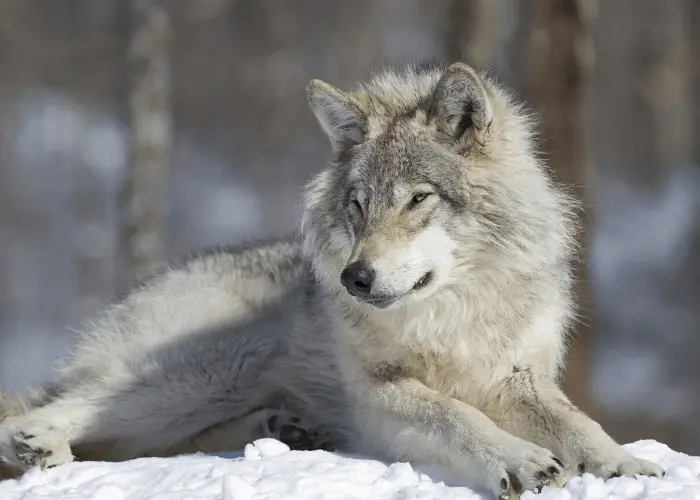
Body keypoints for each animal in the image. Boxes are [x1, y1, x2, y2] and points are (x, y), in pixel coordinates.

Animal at [0, 63, 660, 500]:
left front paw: (626, 466)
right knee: (52, 414)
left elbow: (578, 424)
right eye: (358, 206)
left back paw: (285, 428)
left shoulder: (518, 376)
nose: (353, 278)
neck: (451, 314)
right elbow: (455, 415)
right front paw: (520, 458)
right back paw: (38, 445)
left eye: (418, 199)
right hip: (215, 367)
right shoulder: (380, 394)